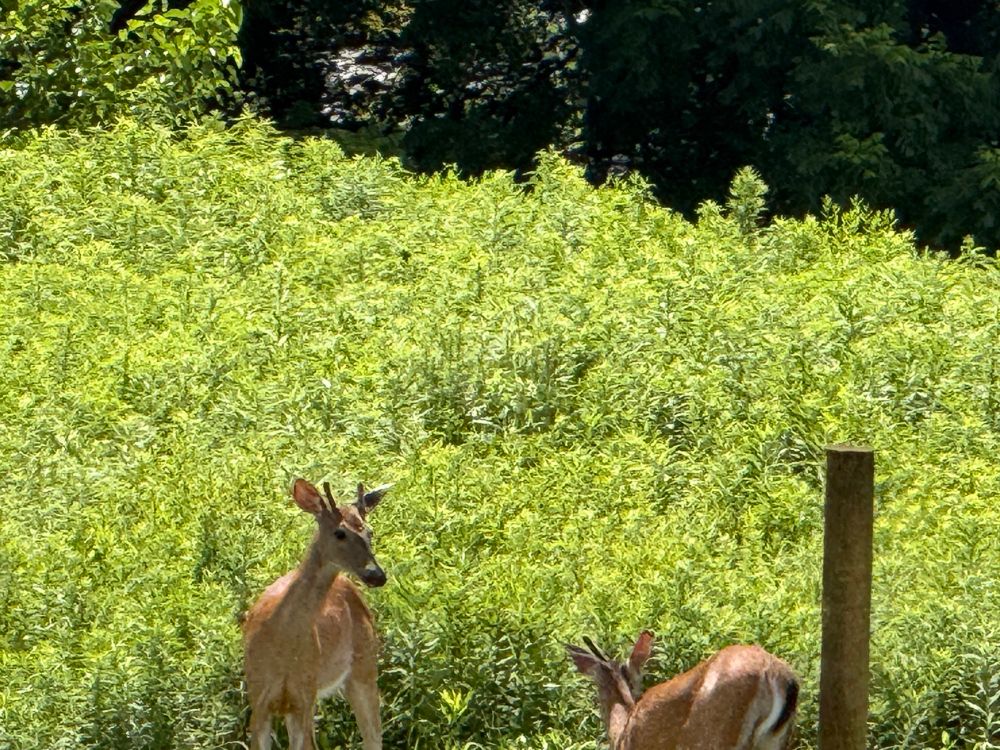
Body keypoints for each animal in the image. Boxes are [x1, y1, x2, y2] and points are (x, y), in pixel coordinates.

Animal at [242, 478, 392, 750]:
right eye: (340, 533)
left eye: (370, 532)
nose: (376, 575)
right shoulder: (258, 698)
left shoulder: (304, 695)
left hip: (363, 665)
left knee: (373, 736)